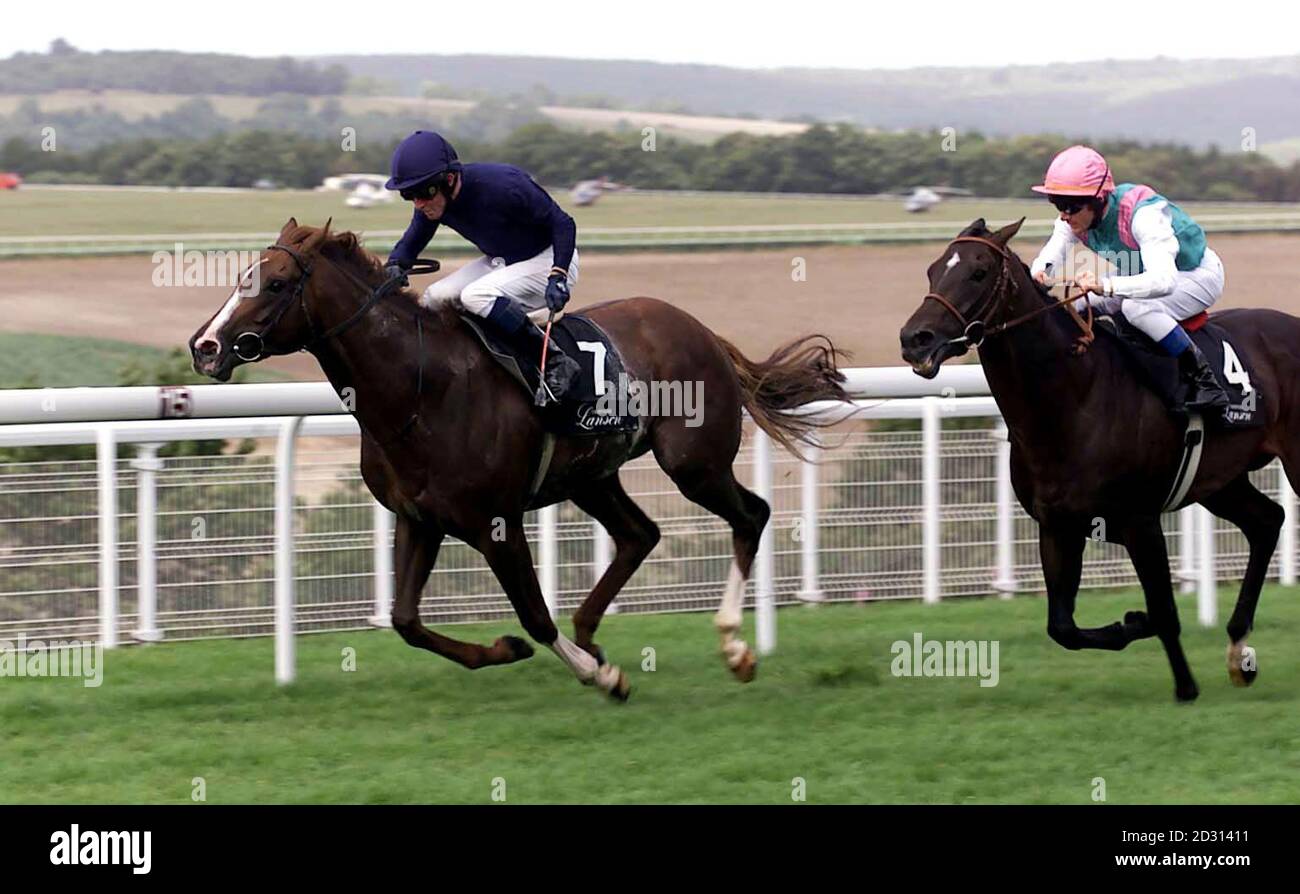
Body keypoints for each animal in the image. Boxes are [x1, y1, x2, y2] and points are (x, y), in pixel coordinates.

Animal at [188, 219, 847, 701]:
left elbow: (534, 614)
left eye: (274, 285)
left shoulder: (496, 523)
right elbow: (406, 620)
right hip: (593, 475)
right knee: (640, 534)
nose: (205, 346)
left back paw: (733, 646)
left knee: (750, 516)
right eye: (243, 277)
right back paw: (593, 633)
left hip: (694, 463)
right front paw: (508, 651)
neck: (419, 391)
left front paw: (599, 675)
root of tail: (702, 330)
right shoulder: (419, 519)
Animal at [899, 219, 1300, 701]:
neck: (1074, 395)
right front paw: (1131, 625)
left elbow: (1163, 610)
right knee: (1267, 521)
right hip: (1221, 481)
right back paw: (1239, 648)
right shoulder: (1058, 526)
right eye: (933, 269)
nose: (914, 339)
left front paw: (1184, 685)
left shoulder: (1140, 521)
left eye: (978, 273)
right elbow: (1063, 627)